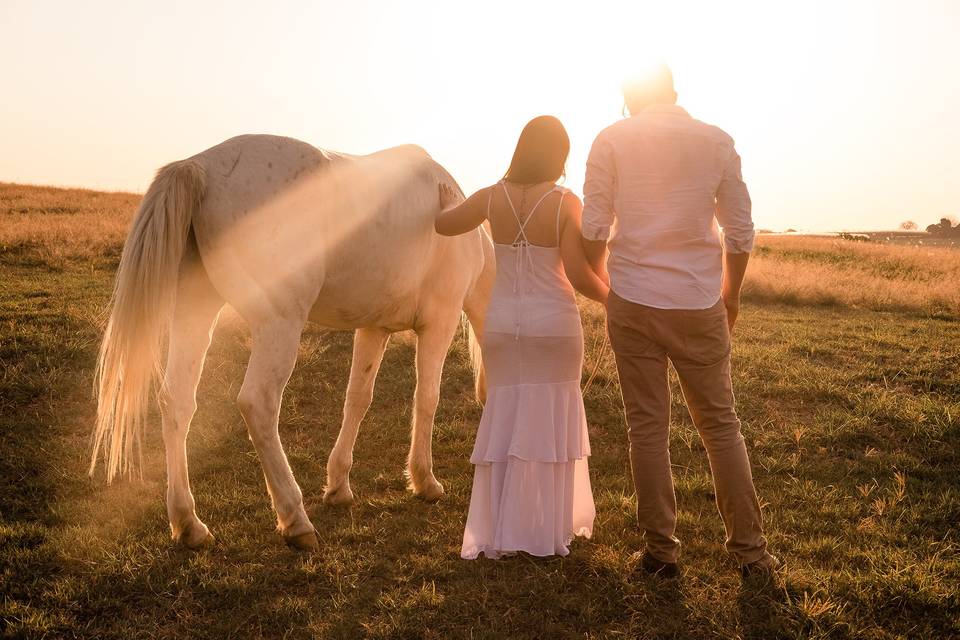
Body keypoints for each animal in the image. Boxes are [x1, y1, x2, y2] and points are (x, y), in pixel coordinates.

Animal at [90, 135, 496, 552]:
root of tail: (199, 167)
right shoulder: (439, 322)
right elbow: (427, 398)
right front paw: (425, 480)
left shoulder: (373, 329)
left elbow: (357, 400)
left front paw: (338, 486)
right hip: (278, 325)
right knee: (259, 404)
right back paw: (295, 519)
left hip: (194, 314)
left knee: (177, 402)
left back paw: (189, 524)